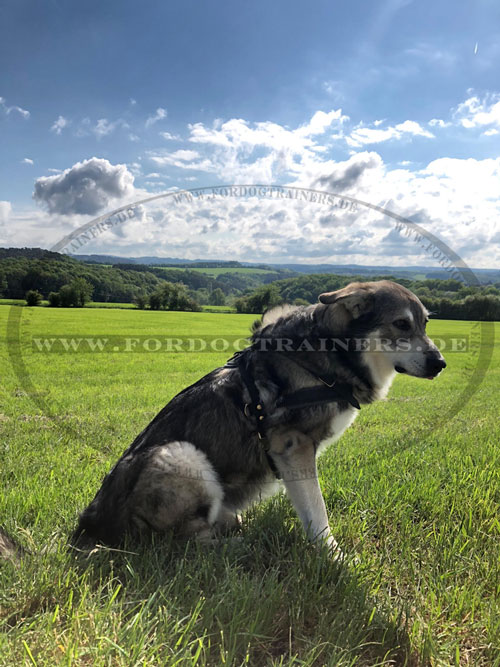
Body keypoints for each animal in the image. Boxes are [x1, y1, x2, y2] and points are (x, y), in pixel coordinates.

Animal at [68, 280, 444, 560]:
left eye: (425, 323)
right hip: (181, 454)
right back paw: (243, 545)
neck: (329, 352)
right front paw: (335, 557)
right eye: (401, 324)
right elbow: (318, 511)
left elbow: (306, 503)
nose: (440, 364)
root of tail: (90, 526)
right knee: (185, 542)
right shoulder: (294, 447)